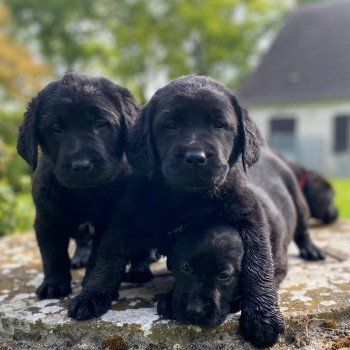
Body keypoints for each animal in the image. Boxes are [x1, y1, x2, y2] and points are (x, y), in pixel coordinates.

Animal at [16, 72, 141, 300]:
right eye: (56, 128)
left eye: (100, 124)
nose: (81, 165)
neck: (85, 193)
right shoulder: (47, 220)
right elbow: (53, 254)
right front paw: (53, 285)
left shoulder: (111, 222)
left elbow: (100, 256)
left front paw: (91, 288)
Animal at [159, 146, 326, 326]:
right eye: (185, 267)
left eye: (224, 276)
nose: (194, 310)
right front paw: (168, 299)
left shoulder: (277, 265)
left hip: (297, 199)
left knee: (303, 229)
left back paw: (311, 250)